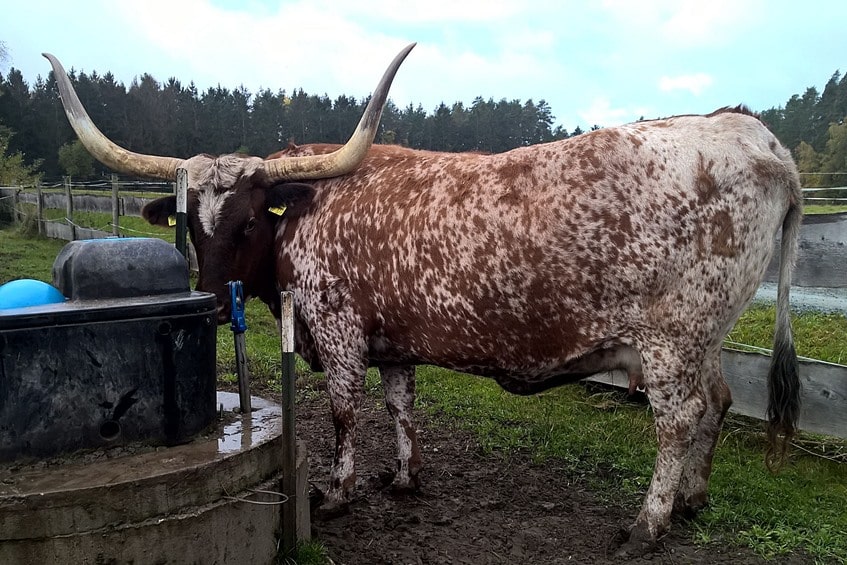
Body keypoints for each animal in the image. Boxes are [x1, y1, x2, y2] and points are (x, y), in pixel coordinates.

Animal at [46, 45, 800, 556]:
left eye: (253, 217)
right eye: (191, 221)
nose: (208, 296)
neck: (311, 211)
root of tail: (748, 131)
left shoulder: (338, 326)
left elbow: (344, 411)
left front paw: (337, 491)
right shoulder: (392, 339)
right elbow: (399, 405)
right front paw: (404, 476)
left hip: (670, 335)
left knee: (678, 420)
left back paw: (647, 522)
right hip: (704, 334)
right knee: (718, 402)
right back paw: (693, 500)